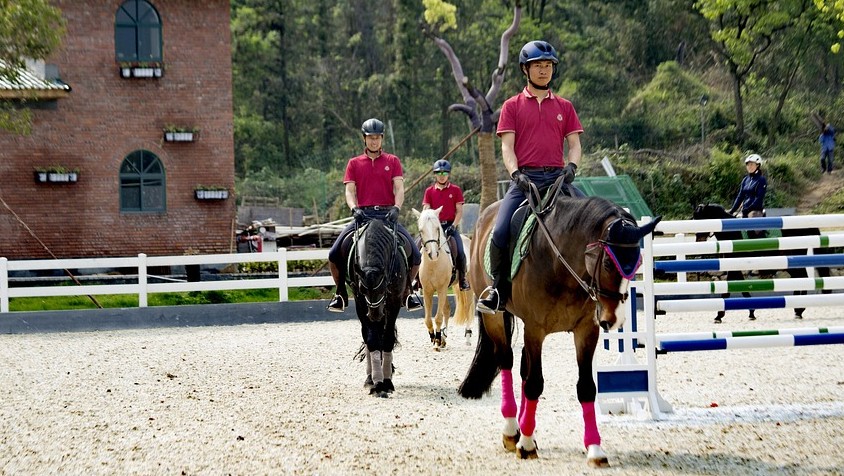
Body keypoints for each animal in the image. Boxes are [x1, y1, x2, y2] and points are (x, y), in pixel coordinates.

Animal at [352, 219, 410, 398]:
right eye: (363, 290)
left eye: (383, 287)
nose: (375, 315)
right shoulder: (360, 302)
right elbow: (372, 339)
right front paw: (377, 383)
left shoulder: (394, 301)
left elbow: (388, 338)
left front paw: (387, 382)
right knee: (369, 337)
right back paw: (370, 378)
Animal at [414, 207, 474, 350]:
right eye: (421, 230)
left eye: (437, 228)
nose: (433, 254)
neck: (434, 264)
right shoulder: (428, 291)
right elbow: (428, 319)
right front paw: (434, 337)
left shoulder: (441, 289)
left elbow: (438, 317)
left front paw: (436, 339)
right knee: (447, 309)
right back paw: (444, 338)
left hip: (466, 287)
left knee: (468, 308)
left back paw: (467, 337)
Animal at [462, 195, 660, 466]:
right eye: (608, 262)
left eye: (637, 264)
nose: (614, 320)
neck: (561, 263)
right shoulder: (535, 330)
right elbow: (535, 383)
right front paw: (525, 445)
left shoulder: (586, 331)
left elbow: (586, 387)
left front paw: (595, 449)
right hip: (496, 317)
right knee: (507, 362)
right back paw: (513, 432)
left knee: (522, 368)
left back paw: (525, 430)